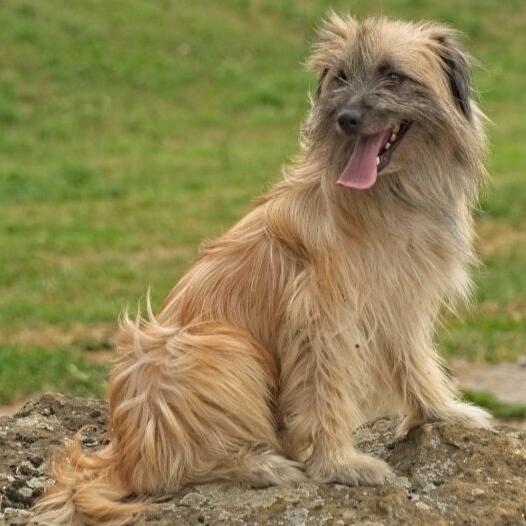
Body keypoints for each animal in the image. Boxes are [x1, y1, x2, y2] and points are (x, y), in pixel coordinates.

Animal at [35, 13, 492, 526]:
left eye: (392, 73)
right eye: (341, 76)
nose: (347, 119)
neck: (390, 195)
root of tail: (123, 455)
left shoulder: (400, 300)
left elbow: (415, 363)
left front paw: (442, 411)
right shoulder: (319, 317)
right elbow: (324, 391)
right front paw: (340, 463)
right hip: (216, 348)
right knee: (170, 470)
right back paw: (261, 465)